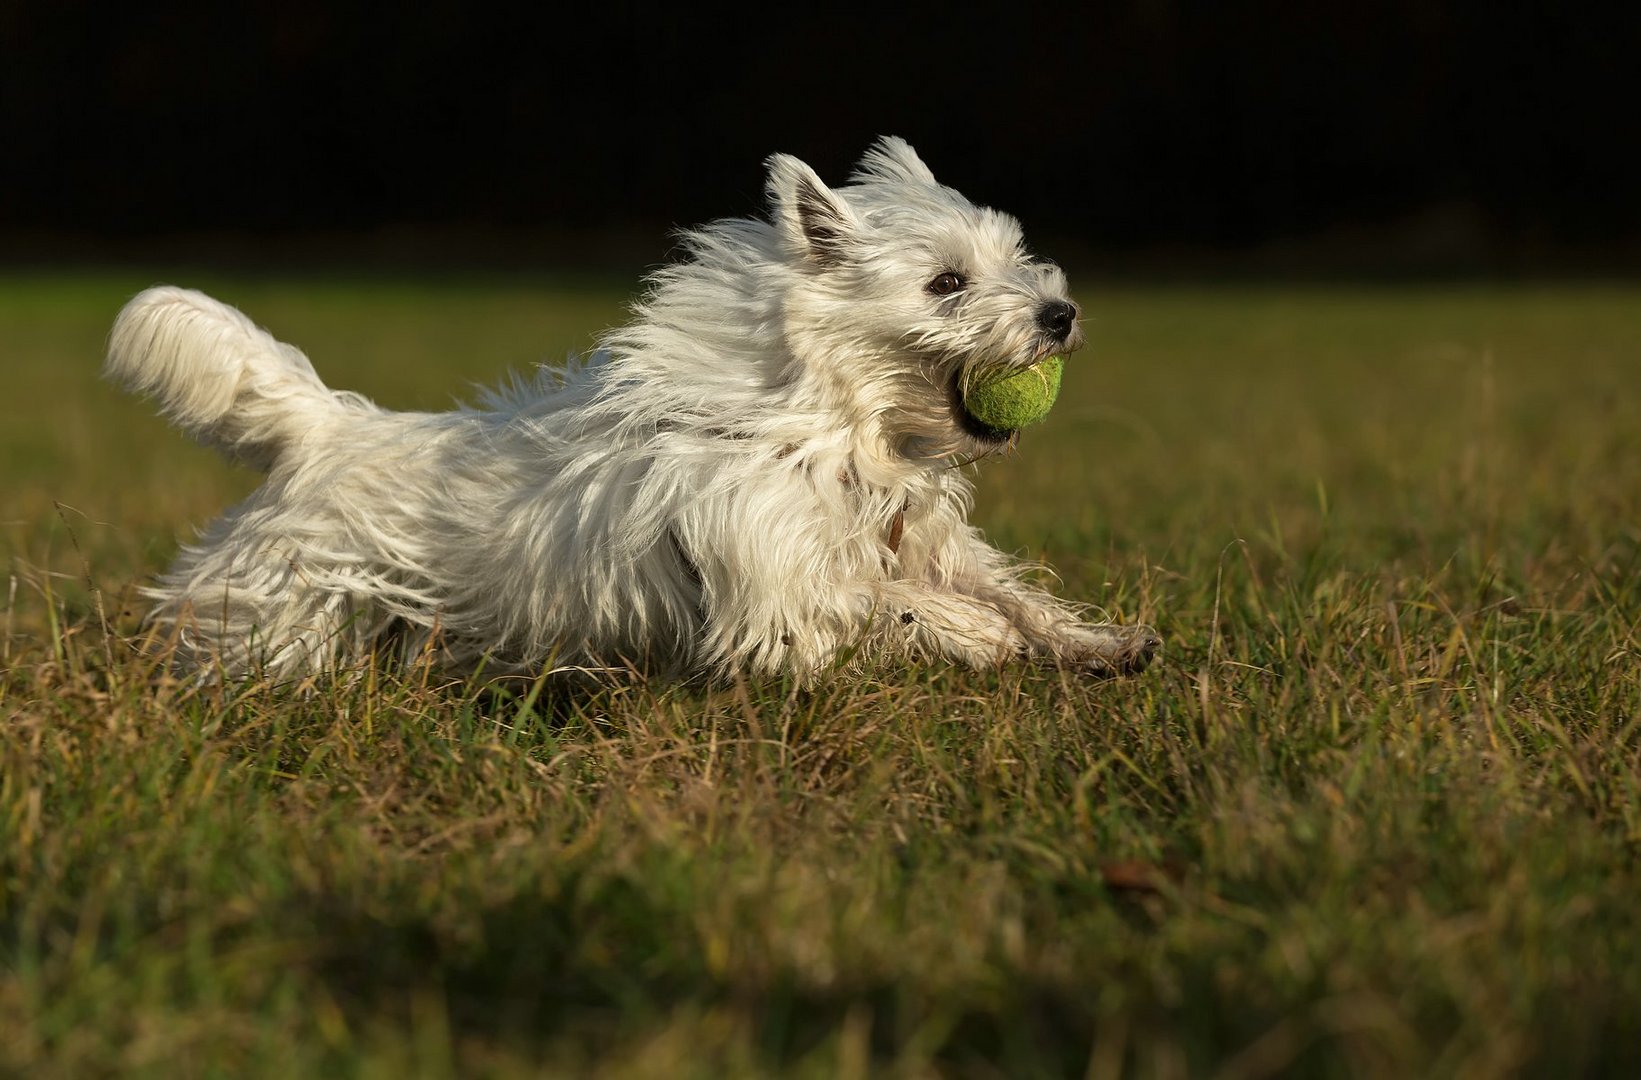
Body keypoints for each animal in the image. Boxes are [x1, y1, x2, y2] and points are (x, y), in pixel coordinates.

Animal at [109, 137, 1161, 682]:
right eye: (946, 284)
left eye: (1018, 259)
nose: (1059, 313)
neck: (838, 433)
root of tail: (327, 425)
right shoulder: (777, 594)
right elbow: (885, 602)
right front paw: (981, 640)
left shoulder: (924, 541)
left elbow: (1005, 589)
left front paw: (1096, 643)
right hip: (286, 609)